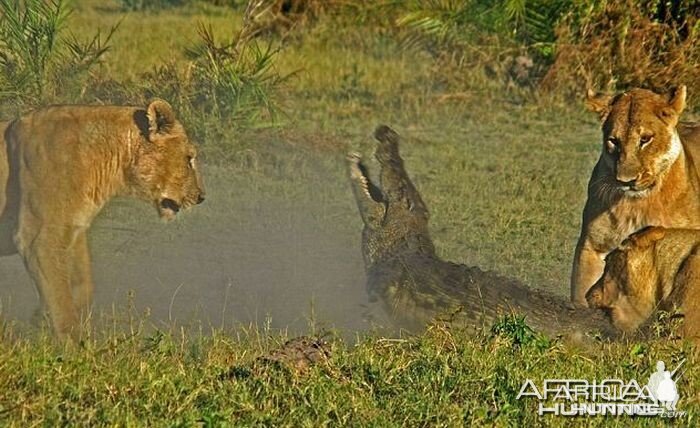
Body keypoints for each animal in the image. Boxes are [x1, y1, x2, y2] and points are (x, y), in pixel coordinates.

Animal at [0, 98, 206, 340]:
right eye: (189, 159)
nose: (201, 197)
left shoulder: (75, 231)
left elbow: (82, 287)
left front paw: (40, 318)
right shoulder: (38, 239)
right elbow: (62, 303)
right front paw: (73, 346)